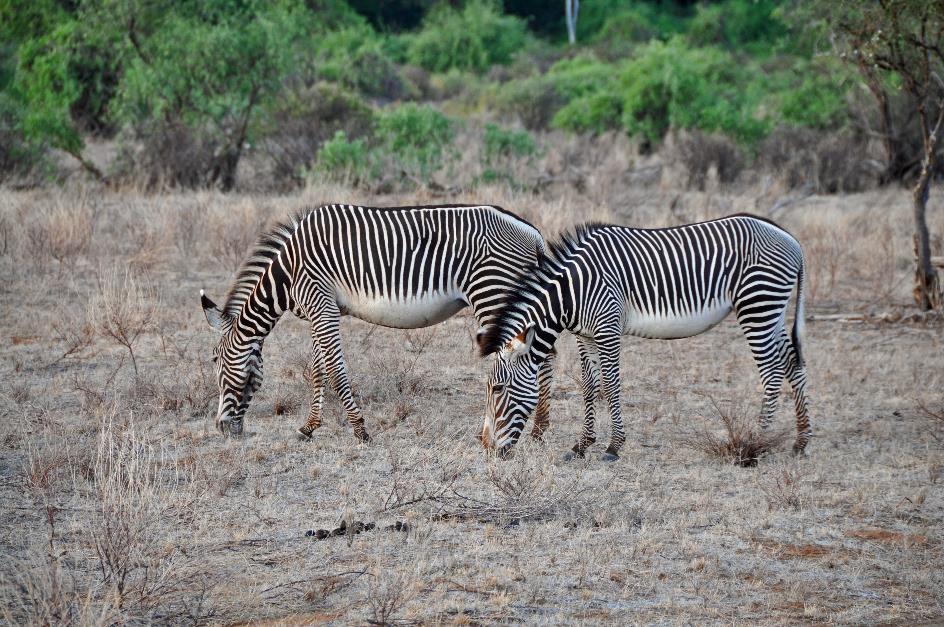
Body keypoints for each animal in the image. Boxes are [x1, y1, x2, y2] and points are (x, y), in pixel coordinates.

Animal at [198, 204, 552, 444]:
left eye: (215, 359)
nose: (221, 428)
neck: (287, 271)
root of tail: (534, 233)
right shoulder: (320, 309)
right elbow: (318, 369)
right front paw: (309, 427)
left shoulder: (320, 304)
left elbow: (336, 370)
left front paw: (360, 429)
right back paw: (538, 429)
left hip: (494, 294)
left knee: (535, 356)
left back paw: (521, 428)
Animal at [480, 216, 812, 462]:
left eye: (498, 388)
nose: (489, 449)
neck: (571, 292)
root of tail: (792, 239)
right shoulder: (585, 336)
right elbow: (589, 387)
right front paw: (582, 445)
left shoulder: (608, 328)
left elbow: (611, 385)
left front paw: (614, 447)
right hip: (772, 309)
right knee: (793, 364)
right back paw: (801, 442)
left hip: (758, 305)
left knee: (771, 373)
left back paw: (757, 443)